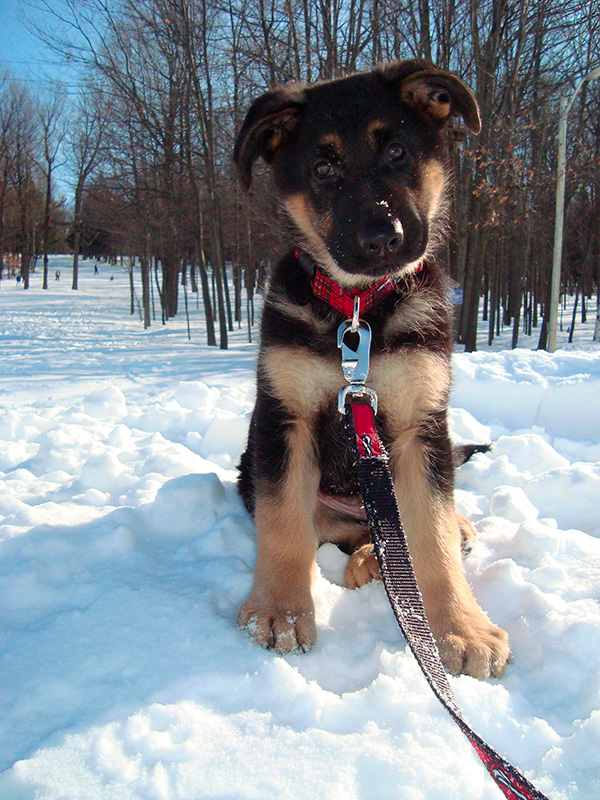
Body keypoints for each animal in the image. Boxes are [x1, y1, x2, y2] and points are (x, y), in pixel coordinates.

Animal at [232, 59, 508, 680]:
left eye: (399, 152)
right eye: (324, 167)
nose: (384, 238)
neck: (359, 307)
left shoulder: (421, 425)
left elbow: (431, 539)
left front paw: (461, 627)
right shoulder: (284, 418)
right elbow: (283, 524)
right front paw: (280, 611)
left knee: (412, 531)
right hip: (255, 476)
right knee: (340, 532)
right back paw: (361, 561)